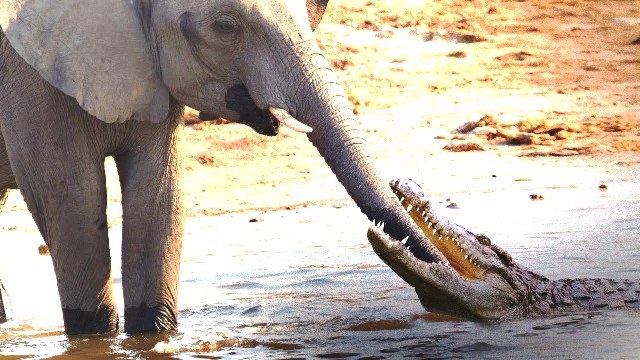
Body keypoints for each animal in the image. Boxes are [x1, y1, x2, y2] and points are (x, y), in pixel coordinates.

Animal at [0, 0, 444, 334]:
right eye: (225, 27)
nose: (437, 269)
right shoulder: (29, 77)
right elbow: (73, 207)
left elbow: (159, 201)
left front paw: (153, 337)